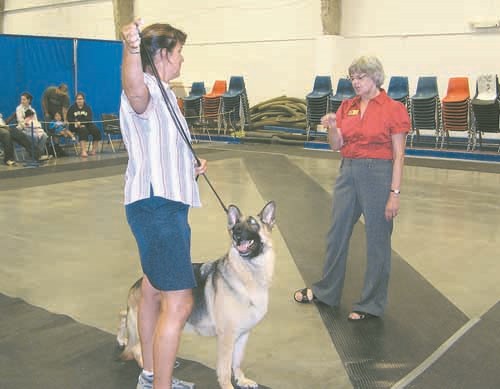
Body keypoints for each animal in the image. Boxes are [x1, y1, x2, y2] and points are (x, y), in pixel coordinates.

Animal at [117, 200, 278, 388]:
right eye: (236, 225)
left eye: (253, 223)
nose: (236, 233)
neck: (247, 274)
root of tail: (136, 285)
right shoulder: (227, 338)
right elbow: (225, 369)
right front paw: (228, 385)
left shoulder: (242, 335)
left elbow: (237, 362)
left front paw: (241, 379)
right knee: (137, 348)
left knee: (123, 316)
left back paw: (122, 339)